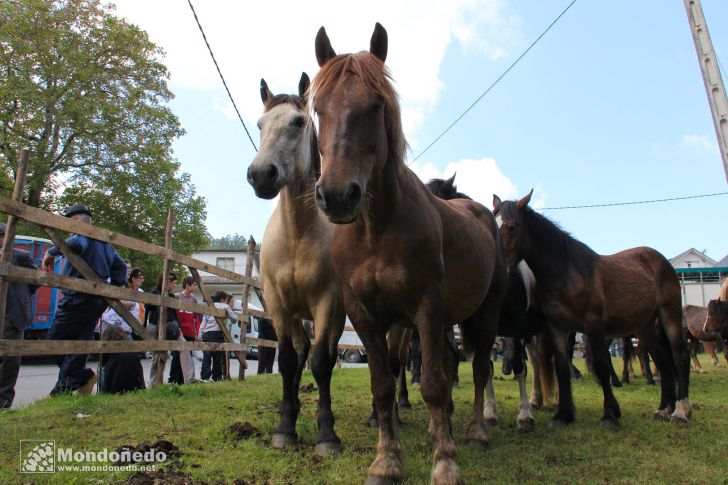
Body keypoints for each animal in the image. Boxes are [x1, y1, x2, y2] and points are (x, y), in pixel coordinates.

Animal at [245, 73, 346, 456]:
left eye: (299, 122)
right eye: (260, 124)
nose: (261, 174)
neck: (297, 235)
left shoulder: (327, 303)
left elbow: (322, 362)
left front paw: (326, 435)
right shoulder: (277, 303)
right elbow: (288, 360)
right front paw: (285, 428)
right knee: (301, 354)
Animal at [310, 23, 504, 484]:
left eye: (376, 104)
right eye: (318, 108)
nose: (338, 195)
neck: (375, 230)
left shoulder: (426, 307)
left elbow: (432, 382)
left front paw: (445, 462)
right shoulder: (365, 313)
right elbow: (382, 384)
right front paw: (386, 460)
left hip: (483, 314)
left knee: (479, 368)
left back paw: (474, 432)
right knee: (453, 363)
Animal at [492, 191, 692, 426]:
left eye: (512, 227)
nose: (495, 265)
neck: (566, 274)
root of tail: (662, 261)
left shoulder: (593, 325)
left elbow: (602, 366)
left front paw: (610, 414)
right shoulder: (557, 328)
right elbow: (562, 368)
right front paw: (563, 415)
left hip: (670, 315)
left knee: (679, 357)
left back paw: (680, 411)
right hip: (645, 327)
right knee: (662, 361)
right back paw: (663, 408)